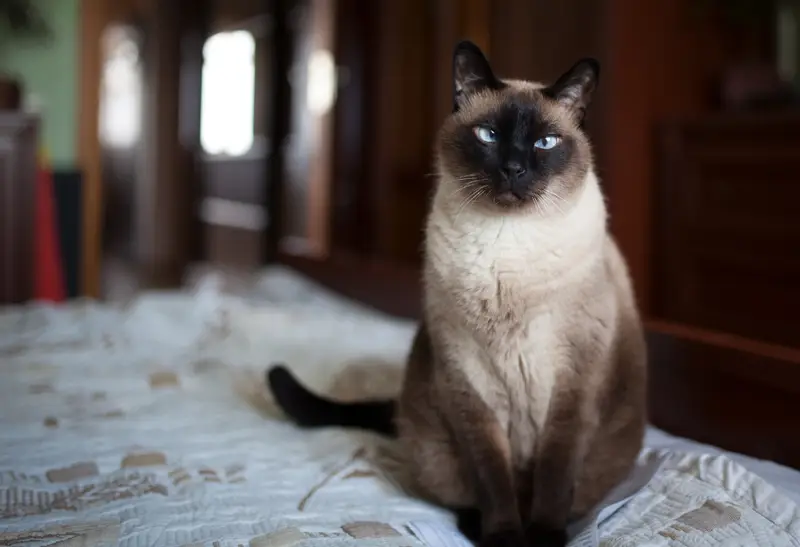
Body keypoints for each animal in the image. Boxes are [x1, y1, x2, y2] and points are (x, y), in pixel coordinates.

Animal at [266, 39, 648, 547]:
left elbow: (554, 475)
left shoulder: (574, 385)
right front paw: (504, 538)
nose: (513, 168)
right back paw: (474, 527)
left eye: (545, 143)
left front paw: (544, 538)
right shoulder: (468, 382)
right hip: (434, 440)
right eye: (488, 135)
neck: (508, 250)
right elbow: (492, 478)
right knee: (467, 492)